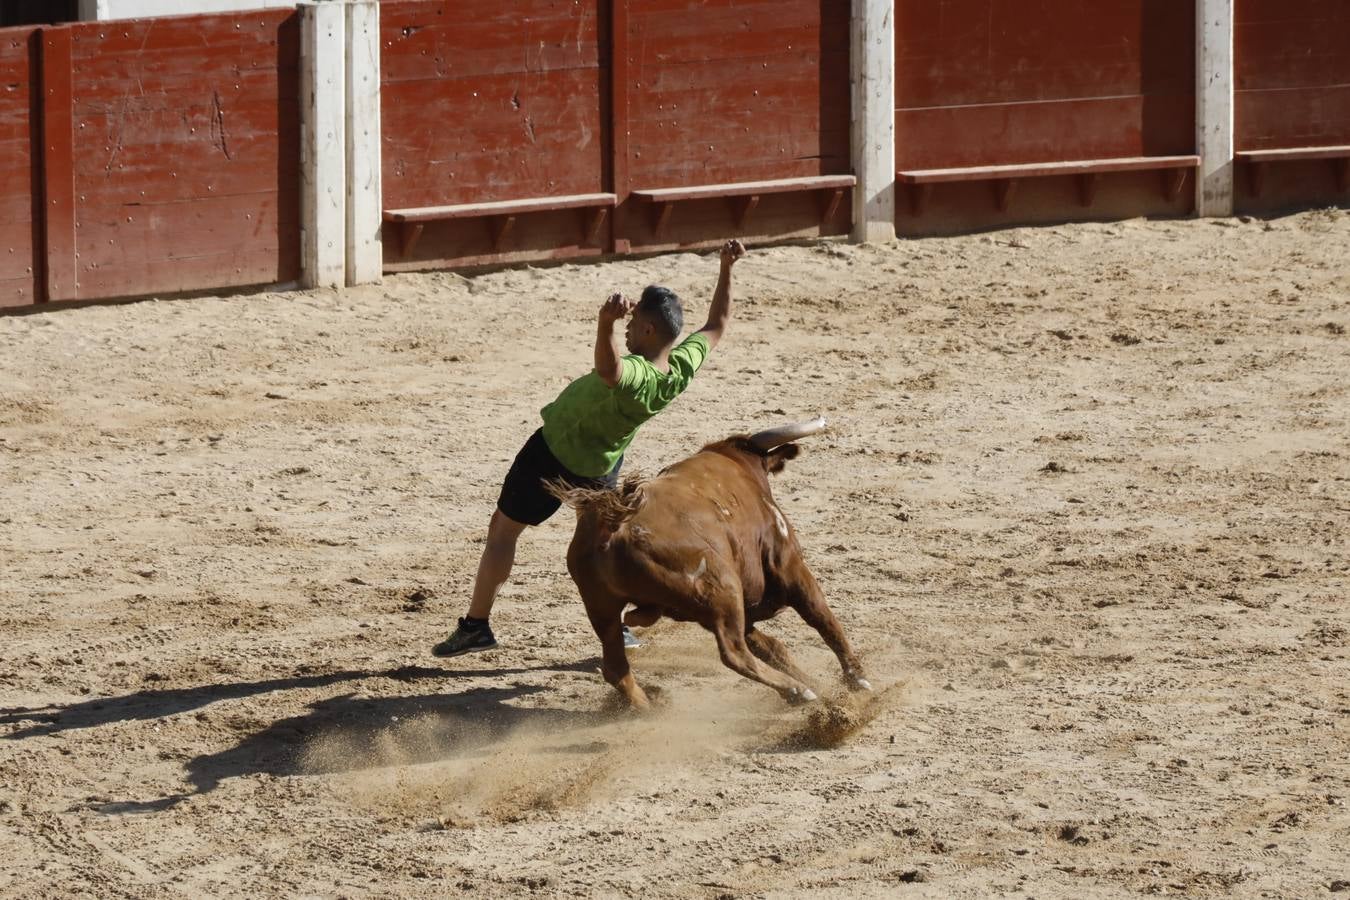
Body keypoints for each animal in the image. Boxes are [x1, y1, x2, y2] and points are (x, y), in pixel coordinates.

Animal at [553, 420, 869, 712]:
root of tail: (616, 522)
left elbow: (771, 646)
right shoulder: (789, 565)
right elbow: (823, 619)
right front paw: (857, 678)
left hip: (602, 608)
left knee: (616, 667)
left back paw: (647, 708)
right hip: (722, 589)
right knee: (734, 653)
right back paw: (797, 690)